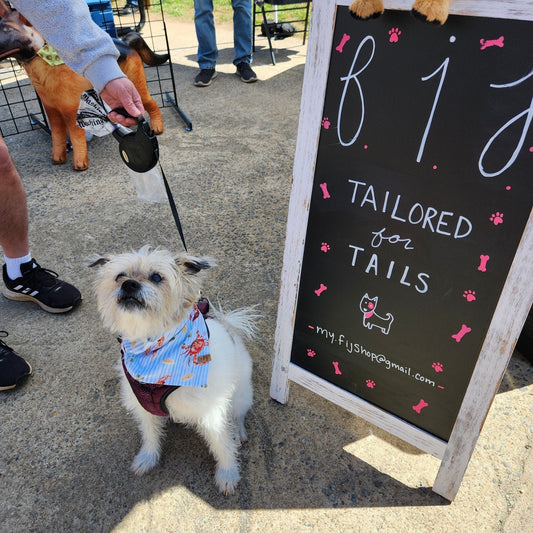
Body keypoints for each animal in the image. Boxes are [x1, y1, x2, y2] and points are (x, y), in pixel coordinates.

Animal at [0, 2, 166, 168]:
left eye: (7, 29)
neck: (47, 64)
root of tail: (125, 41)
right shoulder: (52, 111)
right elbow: (57, 135)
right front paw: (57, 158)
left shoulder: (71, 111)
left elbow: (76, 136)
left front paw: (80, 163)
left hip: (136, 86)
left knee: (151, 103)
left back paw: (157, 127)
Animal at [91, 246, 256, 494]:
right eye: (120, 275)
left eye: (157, 277)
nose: (129, 284)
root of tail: (229, 326)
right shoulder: (144, 408)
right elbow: (150, 435)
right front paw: (147, 458)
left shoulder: (212, 415)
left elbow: (223, 445)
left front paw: (228, 474)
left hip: (240, 395)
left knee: (237, 415)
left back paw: (237, 430)